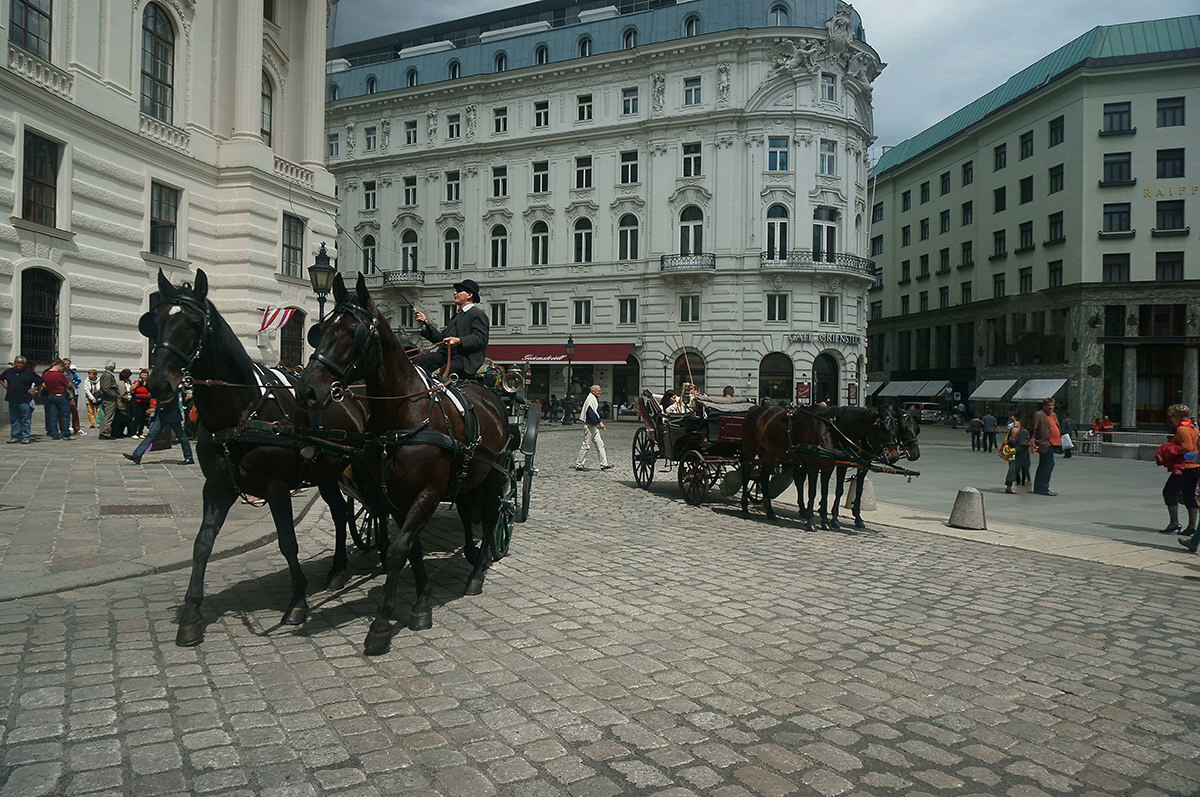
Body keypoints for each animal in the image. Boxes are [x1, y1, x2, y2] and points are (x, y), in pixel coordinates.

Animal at [141, 268, 364, 648]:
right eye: (154, 321)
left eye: (194, 323)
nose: (158, 385)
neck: (242, 410)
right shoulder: (216, 487)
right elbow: (202, 545)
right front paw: (191, 614)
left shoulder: (276, 487)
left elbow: (288, 542)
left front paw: (297, 602)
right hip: (327, 473)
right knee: (339, 513)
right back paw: (337, 570)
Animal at [298, 272, 511, 652]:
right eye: (320, 330)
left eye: (351, 332)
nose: (307, 390)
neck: (402, 416)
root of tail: (490, 394)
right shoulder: (395, 496)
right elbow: (412, 548)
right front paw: (422, 601)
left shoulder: (427, 493)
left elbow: (399, 550)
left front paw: (382, 623)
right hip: (470, 477)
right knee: (468, 512)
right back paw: (473, 555)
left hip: (495, 477)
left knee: (489, 518)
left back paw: (477, 572)